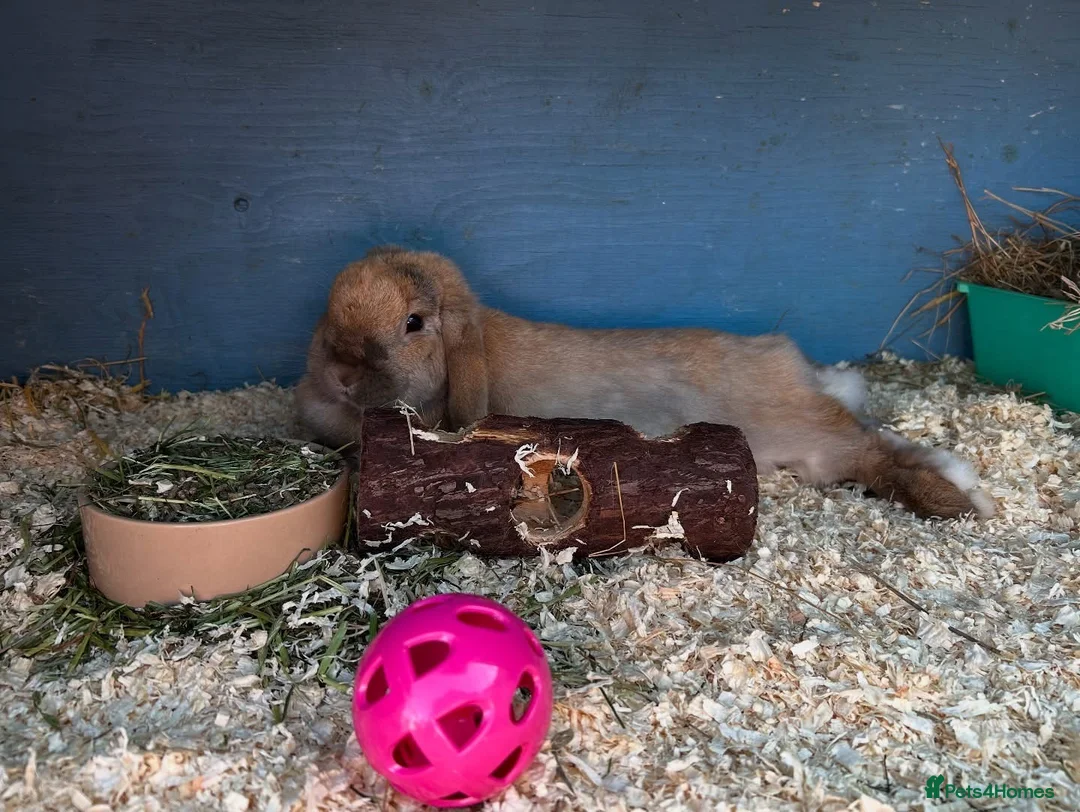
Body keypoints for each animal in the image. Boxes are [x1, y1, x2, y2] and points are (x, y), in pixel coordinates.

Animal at [295, 245, 994, 520]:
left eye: (413, 323)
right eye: (327, 308)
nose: (339, 375)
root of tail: (791, 362)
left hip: (809, 438)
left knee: (874, 452)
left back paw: (957, 501)